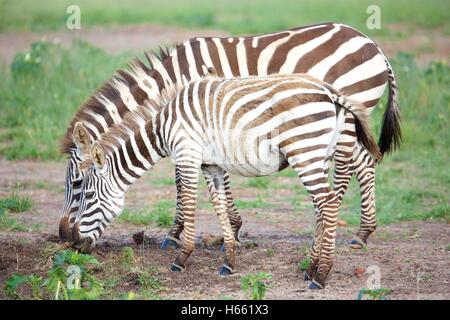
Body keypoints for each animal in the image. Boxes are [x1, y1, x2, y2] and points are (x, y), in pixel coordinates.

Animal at [59, 22, 400, 251]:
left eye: (78, 185)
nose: (64, 238)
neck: (172, 80)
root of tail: (372, 42)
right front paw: (225, 231)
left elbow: (184, 180)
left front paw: (182, 233)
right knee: (364, 162)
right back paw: (359, 231)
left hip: (349, 111)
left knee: (353, 165)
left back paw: (346, 231)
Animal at [69, 74, 380, 288]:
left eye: (88, 194)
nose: (74, 244)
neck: (163, 127)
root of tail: (330, 91)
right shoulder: (211, 166)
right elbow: (219, 207)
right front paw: (228, 261)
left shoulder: (187, 157)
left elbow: (188, 203)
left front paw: (181, 259)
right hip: (320, 155)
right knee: (322, 206)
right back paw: (311, 267)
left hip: (305, 151)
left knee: (328, 204)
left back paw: (321, 274)